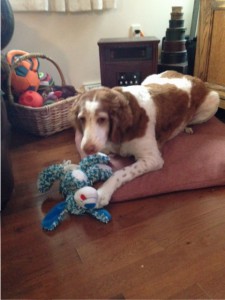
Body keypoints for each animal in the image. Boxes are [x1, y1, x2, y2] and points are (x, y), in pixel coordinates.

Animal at [70, 72, 220, 209]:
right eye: (82, 119)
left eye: (102, 119)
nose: (86, 149)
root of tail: (192, 76)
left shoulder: (153, 159)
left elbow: (120, 172)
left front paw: (103, 192)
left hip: (214, 99)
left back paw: (187, 127)